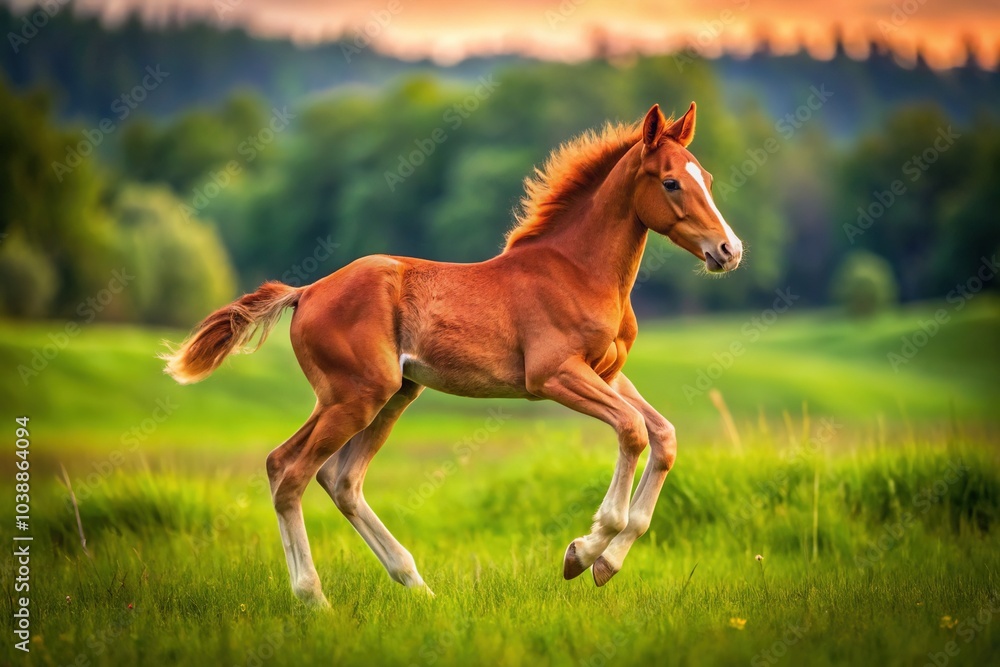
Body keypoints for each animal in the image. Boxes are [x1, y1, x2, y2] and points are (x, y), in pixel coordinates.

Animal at [161, 101, 743, 605]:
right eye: (670, 182)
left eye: (708, 180)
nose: (729, 250)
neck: (578, 271)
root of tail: (306, 292)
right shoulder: (554, 376)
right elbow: (632, 431)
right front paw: (582, 553)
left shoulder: (609, 373)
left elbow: (664, 437)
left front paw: (606, 563)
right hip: (356, 397)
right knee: (291, 472)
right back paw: (315, 600)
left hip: (388, 395)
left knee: (335, 478)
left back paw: (417, 587)